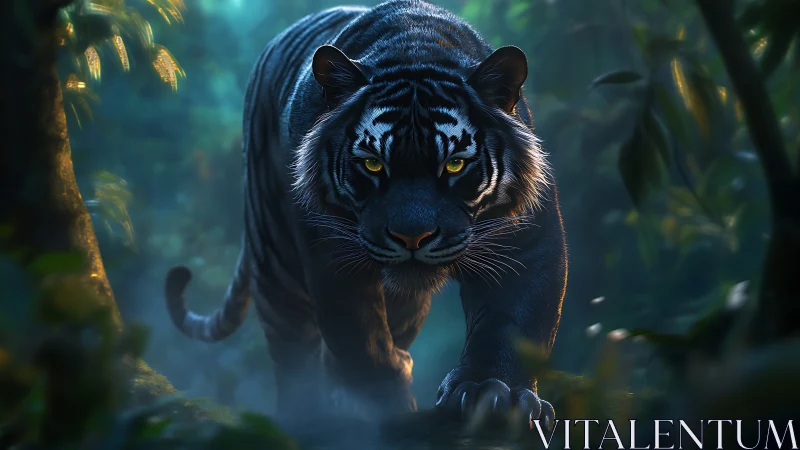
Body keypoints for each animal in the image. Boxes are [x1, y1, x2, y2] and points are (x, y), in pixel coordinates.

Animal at [165, 0, 568, 427]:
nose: (412, 236)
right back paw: (305, 414)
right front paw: (383, 406)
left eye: (455, 164)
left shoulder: (525, 242)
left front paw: (494, 393)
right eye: (373, 164)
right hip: (276, 262)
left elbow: (512, 322)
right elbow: (361, 339)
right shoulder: (332, 255)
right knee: (294, 351)